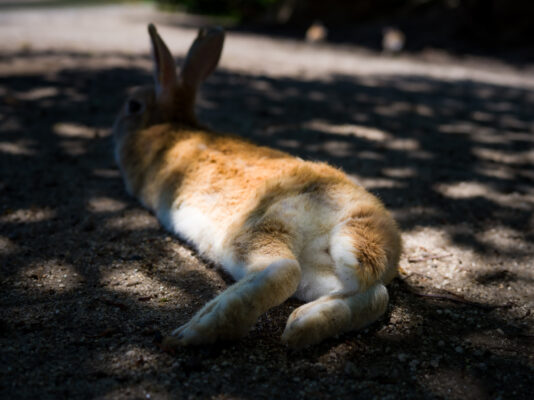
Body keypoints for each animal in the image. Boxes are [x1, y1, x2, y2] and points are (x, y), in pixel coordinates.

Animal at [114, 24, 406, 350]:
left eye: (133, 105)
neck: (169, 122)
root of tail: (360, 220)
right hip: (321, 266)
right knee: (374, 295)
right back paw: (305, 325)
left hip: (259, 228)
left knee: (280, 270)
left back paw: (196, 330)